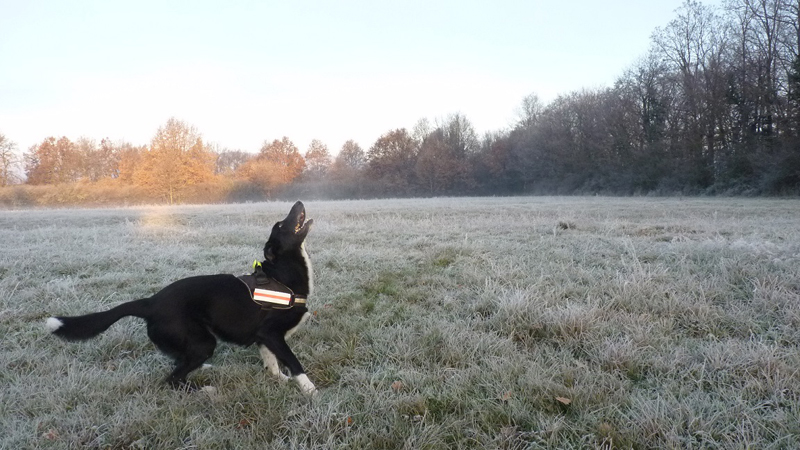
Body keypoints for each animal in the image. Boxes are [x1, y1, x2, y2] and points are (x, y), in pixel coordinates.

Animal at [45, 200, 318, 394]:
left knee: (177, 364)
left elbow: (272, 364)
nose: (298, 203)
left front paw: (280, 379)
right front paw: (310, 390)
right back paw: (204, 390)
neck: (281, 277)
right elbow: (294, 363)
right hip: (203, 342)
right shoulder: (271, 334)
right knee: (173, 378)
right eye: (281, 225)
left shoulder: (264, 338)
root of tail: (151, 302)